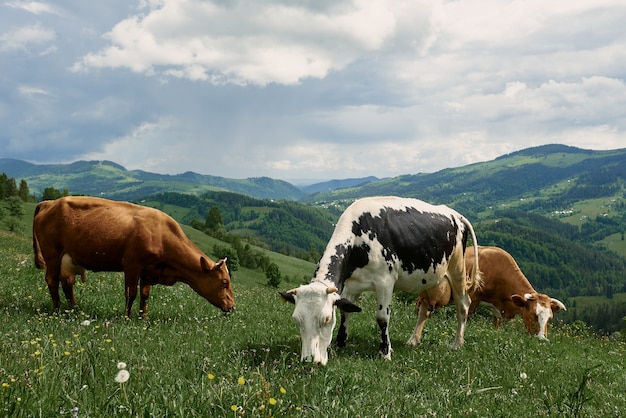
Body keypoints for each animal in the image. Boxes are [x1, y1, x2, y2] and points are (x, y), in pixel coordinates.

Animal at [31, 196, 233, 316]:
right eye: (224, 282)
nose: (232, 307)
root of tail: (50, 202)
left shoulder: (149, 271)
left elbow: (145, 295)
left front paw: (143, 317)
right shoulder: (132, 265)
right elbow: (131, 294)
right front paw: (127, 317)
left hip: (68, 259)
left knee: (67, 283)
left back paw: (75, 308)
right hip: (52, 255)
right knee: (52, 280)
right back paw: (57, 309)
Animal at [278, 198, 478, 364]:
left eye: (326, 319)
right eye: (296, 320)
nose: (309, 360)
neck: (358, 239)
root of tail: (455, 214)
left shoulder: (385, 281)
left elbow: (382, 318)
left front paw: (385, 352)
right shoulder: (350, 285)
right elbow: (345, 311)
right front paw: (340, 343)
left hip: (457, 268)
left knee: (463, 304)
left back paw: (457, 344)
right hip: (430, 276)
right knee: (425, 309)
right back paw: (413, 341)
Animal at [408, 245, 564, 342]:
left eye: (550, 318)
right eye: (533, 314)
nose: (542, 339)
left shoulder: (497, 309)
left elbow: (497, 325)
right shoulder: (472, 299)